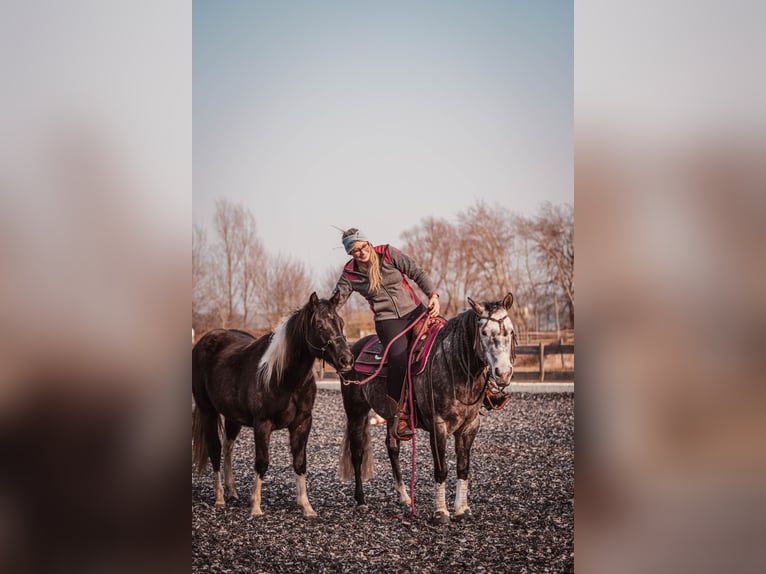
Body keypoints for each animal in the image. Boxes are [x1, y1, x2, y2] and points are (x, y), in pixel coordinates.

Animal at [192, 291, 354, 517]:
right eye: (319, 325)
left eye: (340, 322)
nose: (346, 360)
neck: (284, 377)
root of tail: (205, 340)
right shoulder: (262, 424)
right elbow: (262, 462)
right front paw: (256, 506)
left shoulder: (302, 422)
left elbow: (300, 462)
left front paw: (306, 507)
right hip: (207, 411)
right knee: (215, 449)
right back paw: (220, 498)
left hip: (233, 417)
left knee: (228, 448)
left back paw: (232, 491)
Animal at [338, 293, 516, 524]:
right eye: (484, 332)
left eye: (510, 331)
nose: (503, 373)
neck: (453, 365)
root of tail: (354, 350)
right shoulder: (438, 426)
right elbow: (441, 469)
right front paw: (441, 512)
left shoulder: (470, 426)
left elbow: (463, 467)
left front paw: (462, 510)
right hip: (356, 412)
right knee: (357, 452)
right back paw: (360, 500)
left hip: (391, 416)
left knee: (392, 448)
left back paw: (404, 497)